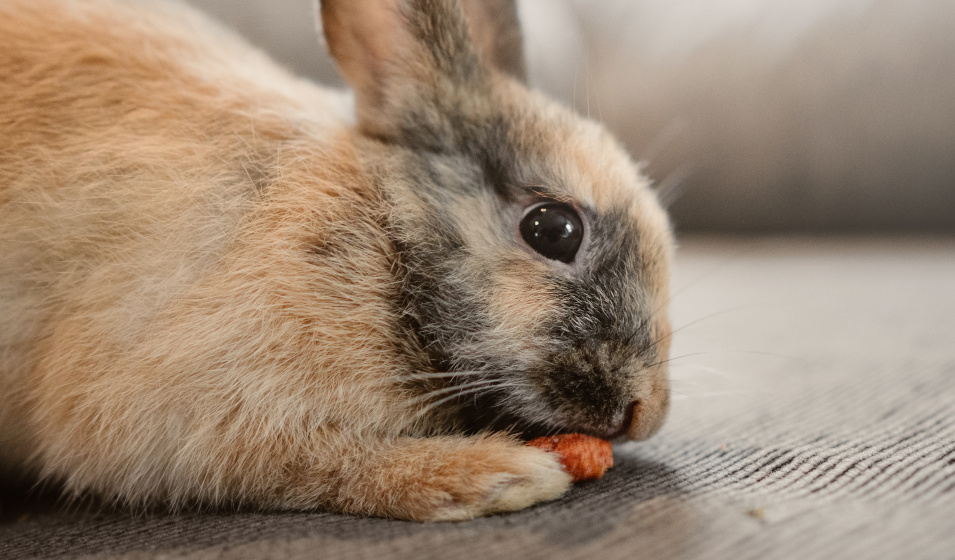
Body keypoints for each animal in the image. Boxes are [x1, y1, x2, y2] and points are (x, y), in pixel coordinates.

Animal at [0, 0, 674, 521]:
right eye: (553, 229)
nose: (644, 413)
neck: (385, 238)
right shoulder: (178, 411)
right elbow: (318, 460)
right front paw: (498, 475)